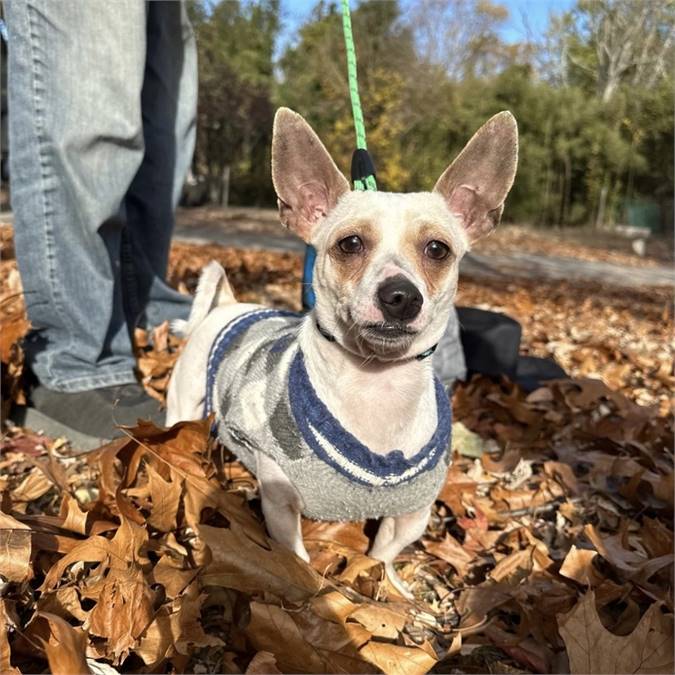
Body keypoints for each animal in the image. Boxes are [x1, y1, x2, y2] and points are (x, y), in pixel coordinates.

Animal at [168, 107, 516, 592]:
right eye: (350, 244)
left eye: (438, 249)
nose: (401, 296)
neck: (377, 387)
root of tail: (227, 305)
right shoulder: (281, 499)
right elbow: (296, 556)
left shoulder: (413, 513)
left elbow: (384, 551)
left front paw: (388, 586)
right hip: (182, 406)